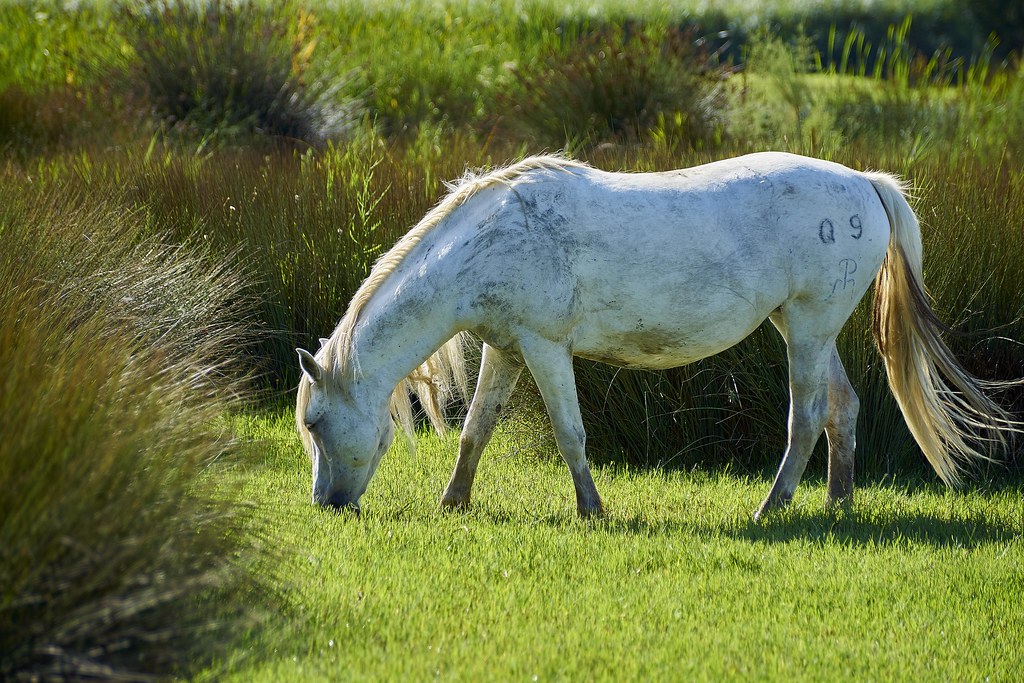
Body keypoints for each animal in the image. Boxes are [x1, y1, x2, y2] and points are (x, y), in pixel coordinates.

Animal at [295, 152, 1017, 520]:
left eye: (315, 423)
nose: (326, 504)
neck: (494, 239)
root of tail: (866, 183)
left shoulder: (545, 347)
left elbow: (569, 434)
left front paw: (592, 511)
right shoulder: (507, 347)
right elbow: (477, 429)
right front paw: (454, 503)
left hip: (810, 329)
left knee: (808, 417)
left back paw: (770, 509)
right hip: (805, 326)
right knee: (843, 409)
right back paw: (837, 507)